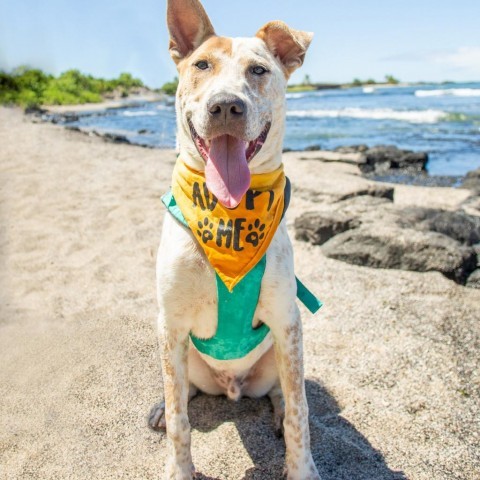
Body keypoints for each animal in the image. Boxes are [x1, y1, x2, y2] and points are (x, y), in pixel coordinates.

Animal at [148, 1, 320, 478]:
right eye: (202, 65)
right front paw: (178, 469)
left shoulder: (287, 321)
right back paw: (160, 408)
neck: (228, 214)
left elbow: (299, 411)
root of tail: (232, 387)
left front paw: (302, 468)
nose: (226, 106)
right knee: (181, 393)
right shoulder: (171, 326)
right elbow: (180, 420)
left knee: (283, 394)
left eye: (258, 70)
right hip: (183, 356)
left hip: (276, 357)